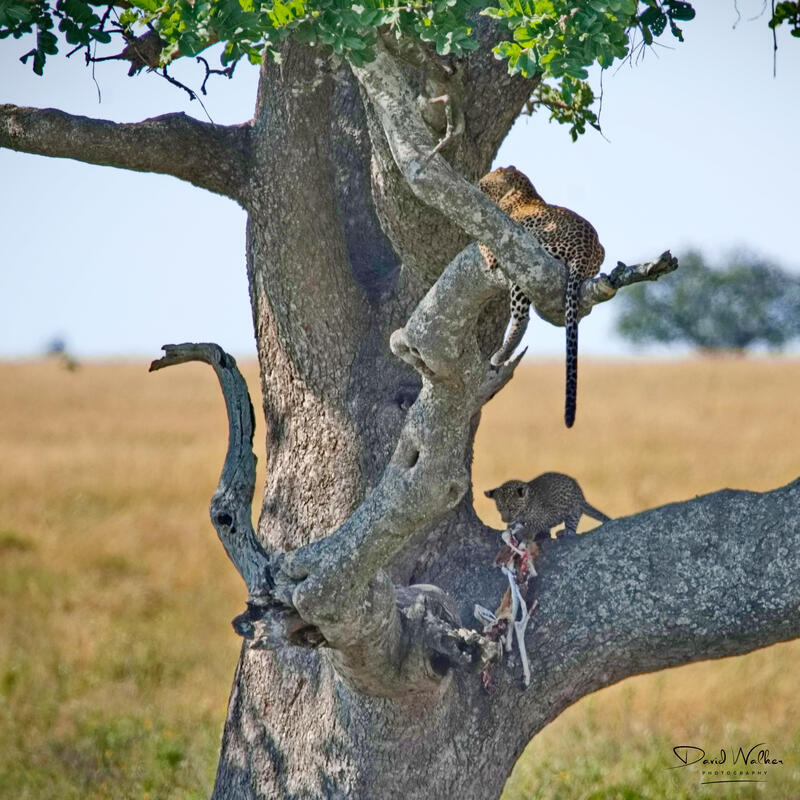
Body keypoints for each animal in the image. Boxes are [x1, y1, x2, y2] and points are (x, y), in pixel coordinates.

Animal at [478, 166, 605, 428]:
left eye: (485, 183)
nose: (476, 186)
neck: (523, 189)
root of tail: (585, 251)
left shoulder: (492, 243)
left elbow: (480, 246)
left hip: (527, 260)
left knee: (521, 315)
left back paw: (501, 354)